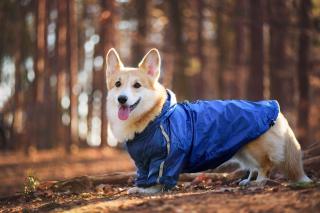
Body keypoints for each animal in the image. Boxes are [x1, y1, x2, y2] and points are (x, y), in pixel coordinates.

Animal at [106, 47, 312, 194]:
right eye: (118, 84)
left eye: (137, 85)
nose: (122, 99)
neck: (155, 116)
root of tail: (275, 109)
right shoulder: (142, 162)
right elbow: (143, 175)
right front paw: (139, 186)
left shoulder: (166, 157)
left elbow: (158, 177)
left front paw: (149, 190)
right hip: (242, 151)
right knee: (253, 167)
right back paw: (247, 181)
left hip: (256, 149)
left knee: (266, 165)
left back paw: (259, 182)